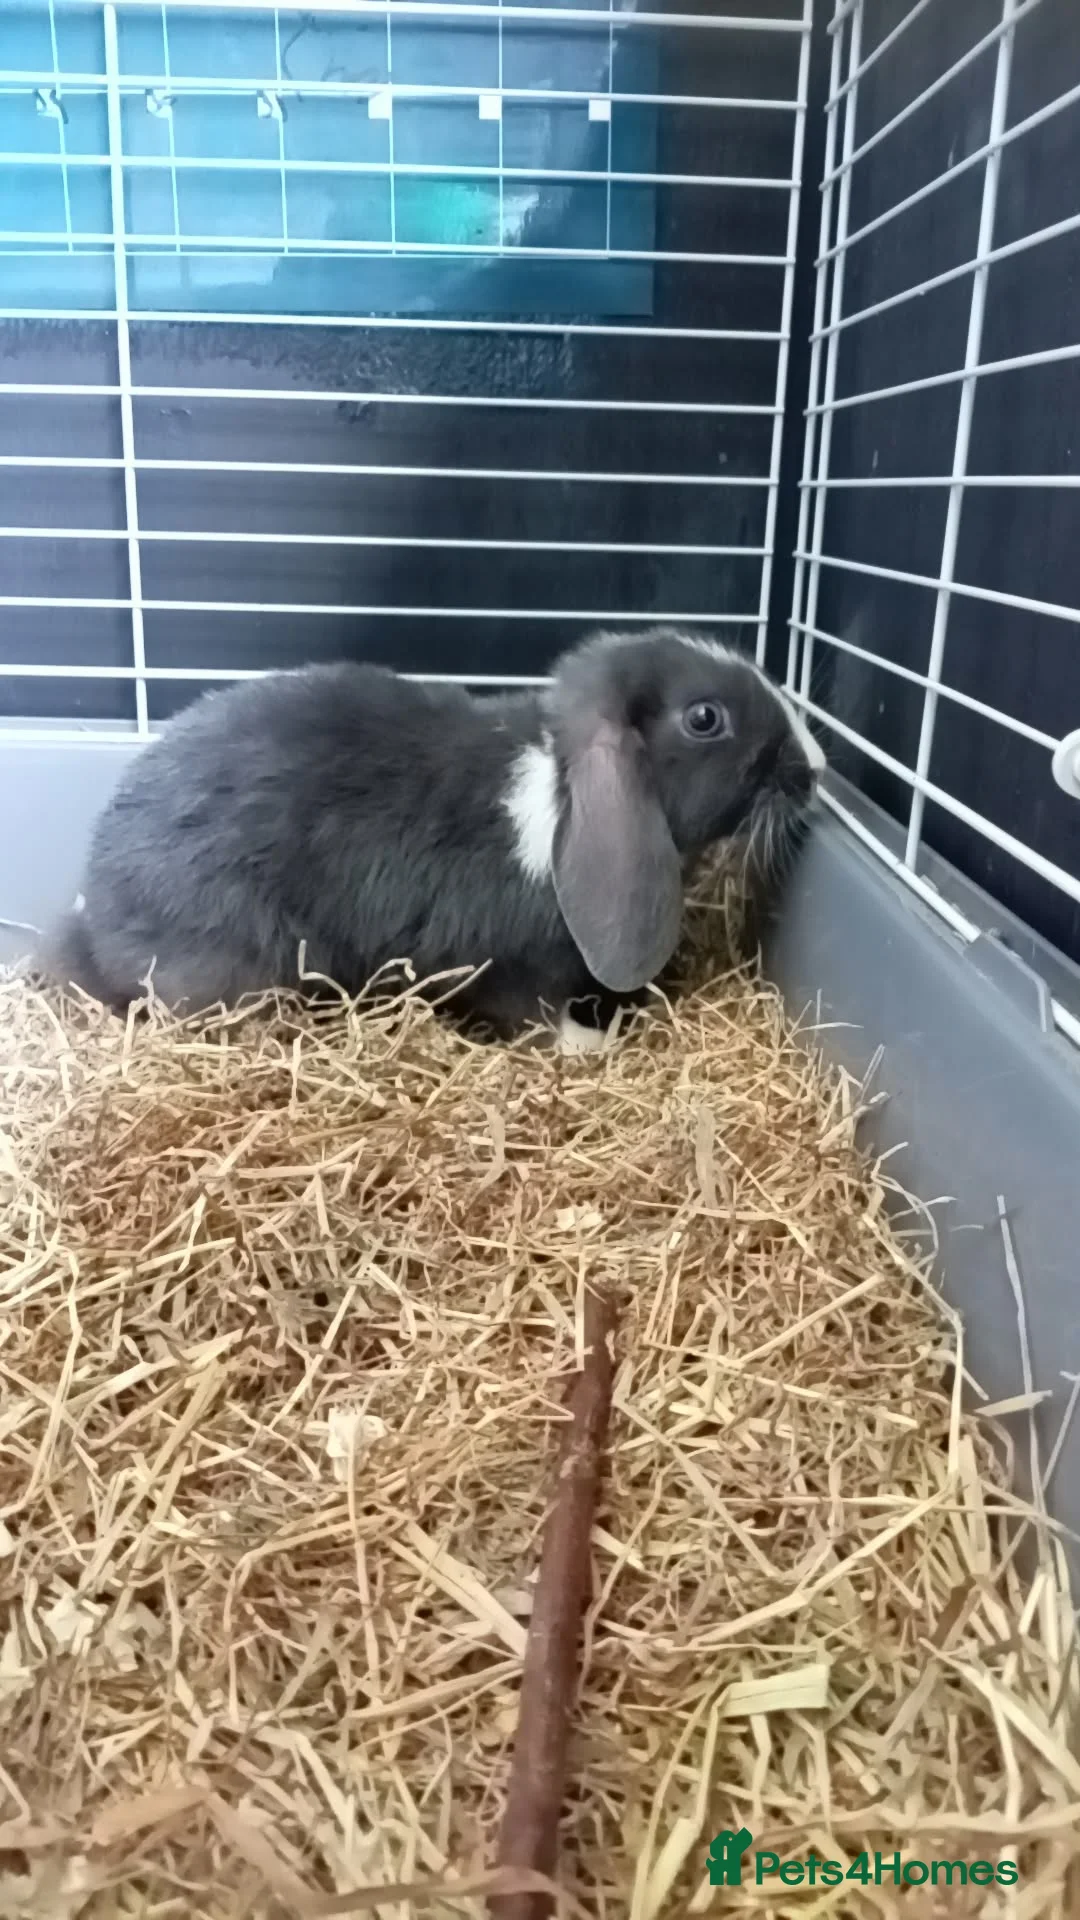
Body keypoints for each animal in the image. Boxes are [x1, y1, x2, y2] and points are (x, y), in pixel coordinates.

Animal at [40, 626, 824, 1044]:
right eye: (704, 718)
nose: (816, 766)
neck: (558, 793)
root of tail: (94, 924)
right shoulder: (512, 966)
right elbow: (534, 1015)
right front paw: (588, 1044)